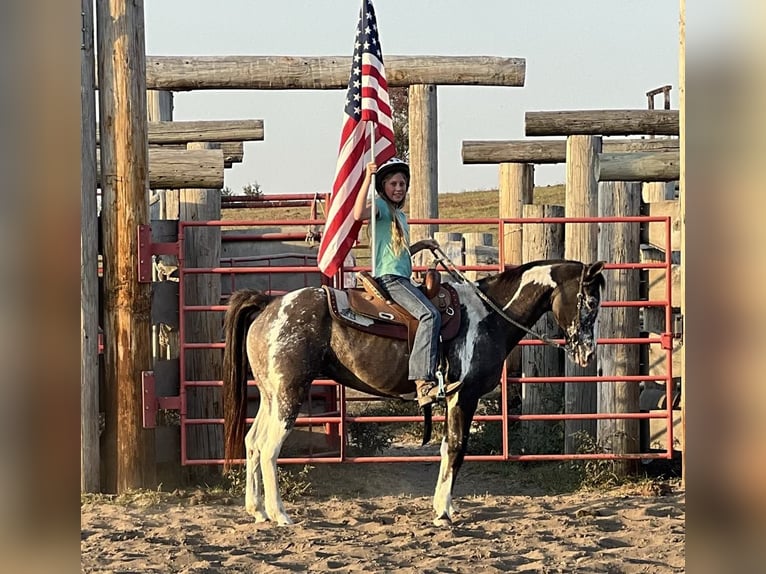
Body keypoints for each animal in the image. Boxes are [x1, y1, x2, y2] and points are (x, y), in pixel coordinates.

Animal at [222, 258, 606, 526]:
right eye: (590, 301)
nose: (588, 352)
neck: (489, 315)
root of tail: (269, 305)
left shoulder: (453, 398)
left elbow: (446, 449)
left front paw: (440, 507)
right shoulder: (464, 396)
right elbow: (456, 448)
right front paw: (444, 513)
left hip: (271, 396)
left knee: (252, 442)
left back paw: (257, 510)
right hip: (290, 394)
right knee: (270, 448)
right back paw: (280, 515)